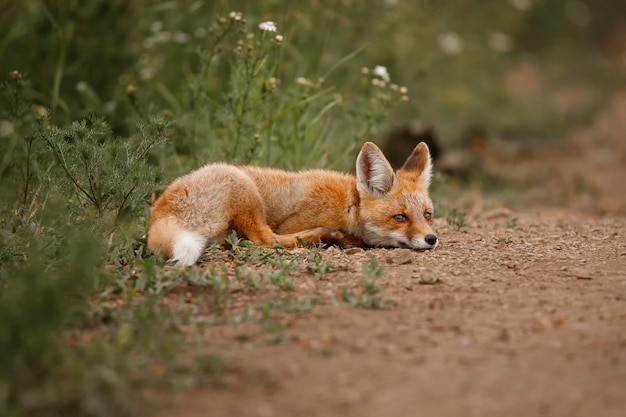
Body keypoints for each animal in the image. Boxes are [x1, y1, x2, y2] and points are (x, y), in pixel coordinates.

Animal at [148, 141, 436, 264]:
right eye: (400, 217)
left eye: (427, 214)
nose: (432, 239)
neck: (348, 206)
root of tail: (159, 215)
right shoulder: (293, 224)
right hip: (244, 188)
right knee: (265, 241)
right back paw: (324, 239)